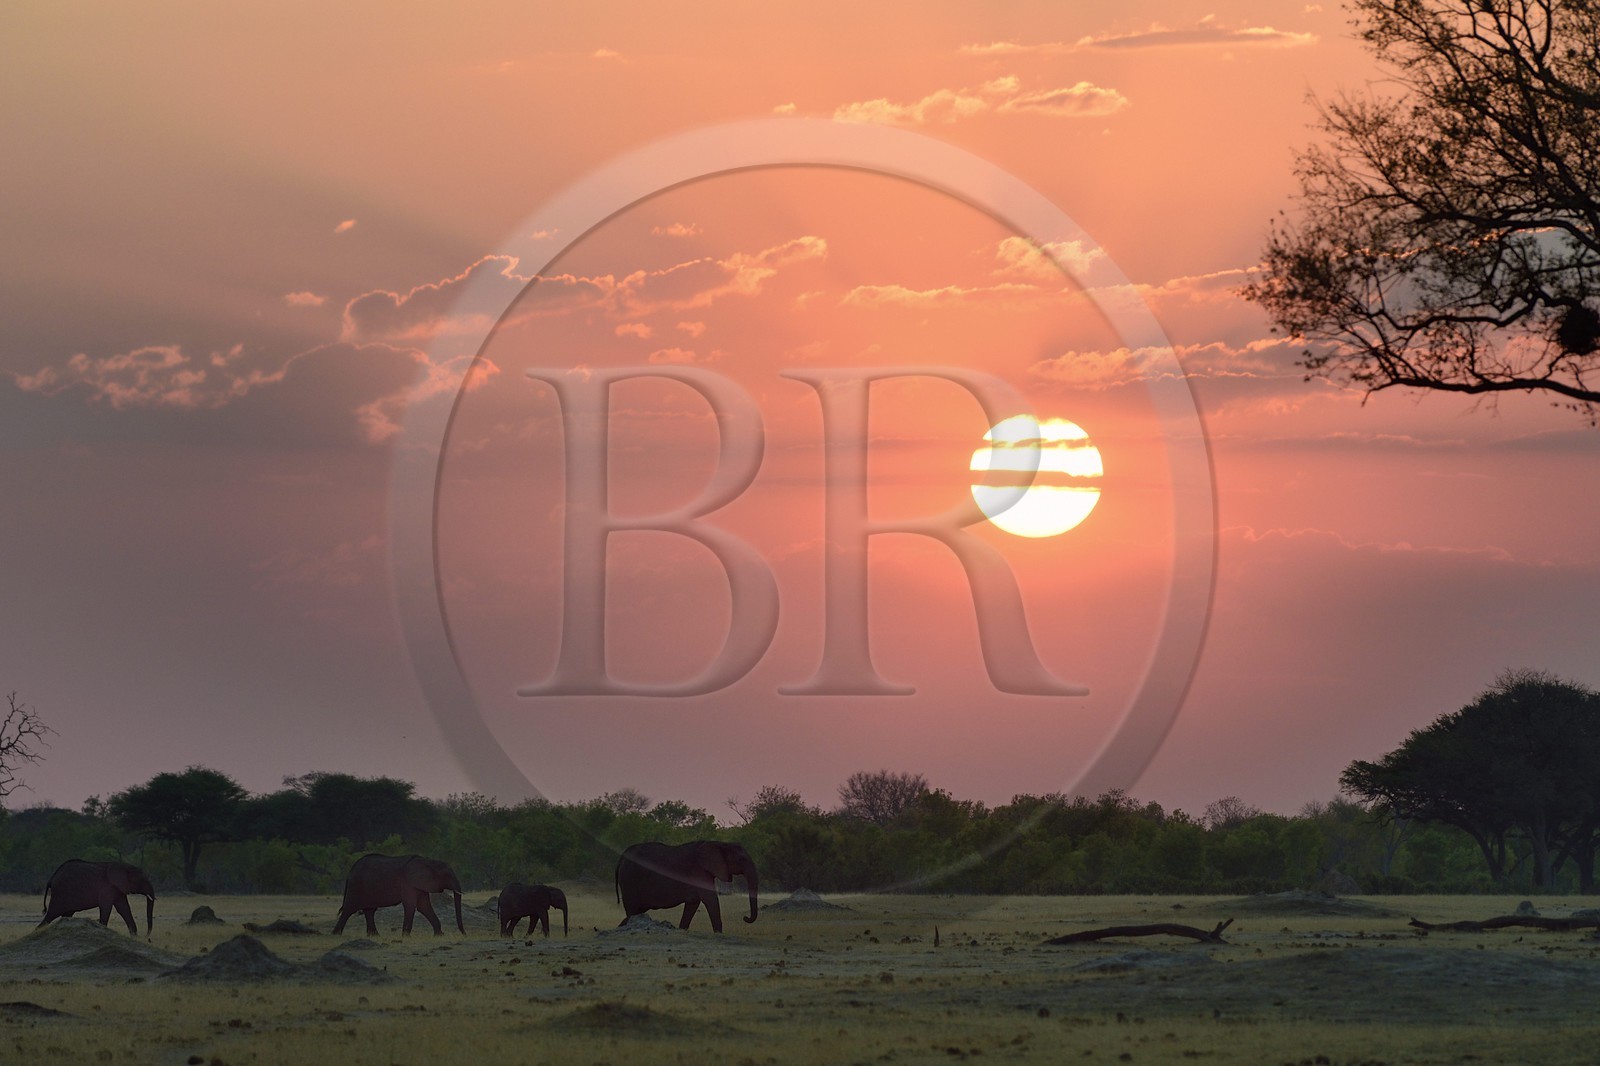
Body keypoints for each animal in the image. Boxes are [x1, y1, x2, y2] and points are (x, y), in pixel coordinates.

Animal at [331, 853, 464, 936]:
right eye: (447, 875)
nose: (464, 934)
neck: (427, 860)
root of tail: (351, 870)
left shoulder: (418, 883)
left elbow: (424, 906)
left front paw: (439, 935)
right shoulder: (407, 882)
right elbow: (411, 905)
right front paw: (406, 937)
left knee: (369, 911)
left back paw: (375, 936)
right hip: (356, 886)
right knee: (349, 909)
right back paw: (336, 934)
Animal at [615, 840, 758, 933]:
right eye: (740, 860)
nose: (745, 918)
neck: (719, 843)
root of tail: (623, 855)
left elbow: (693, 903)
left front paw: (682, 929)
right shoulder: (699, 871)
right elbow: (710, 899)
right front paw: (719, 933)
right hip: (629, 880)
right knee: (632, 911)